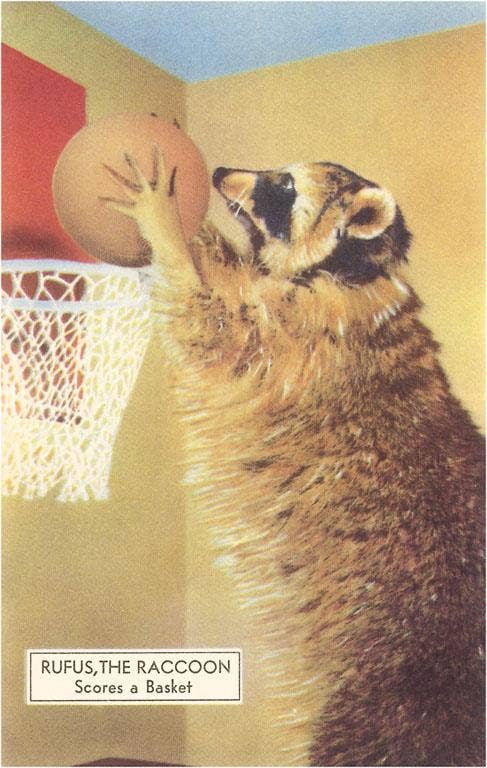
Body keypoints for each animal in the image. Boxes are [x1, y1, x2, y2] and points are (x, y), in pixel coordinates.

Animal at [104, 152, 485, 767]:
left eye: (284, 187)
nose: (219, 172)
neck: (348, 270)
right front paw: (199, 236)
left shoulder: (308, 332)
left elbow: (216, 328)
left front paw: (165, 229)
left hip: (393, 701)